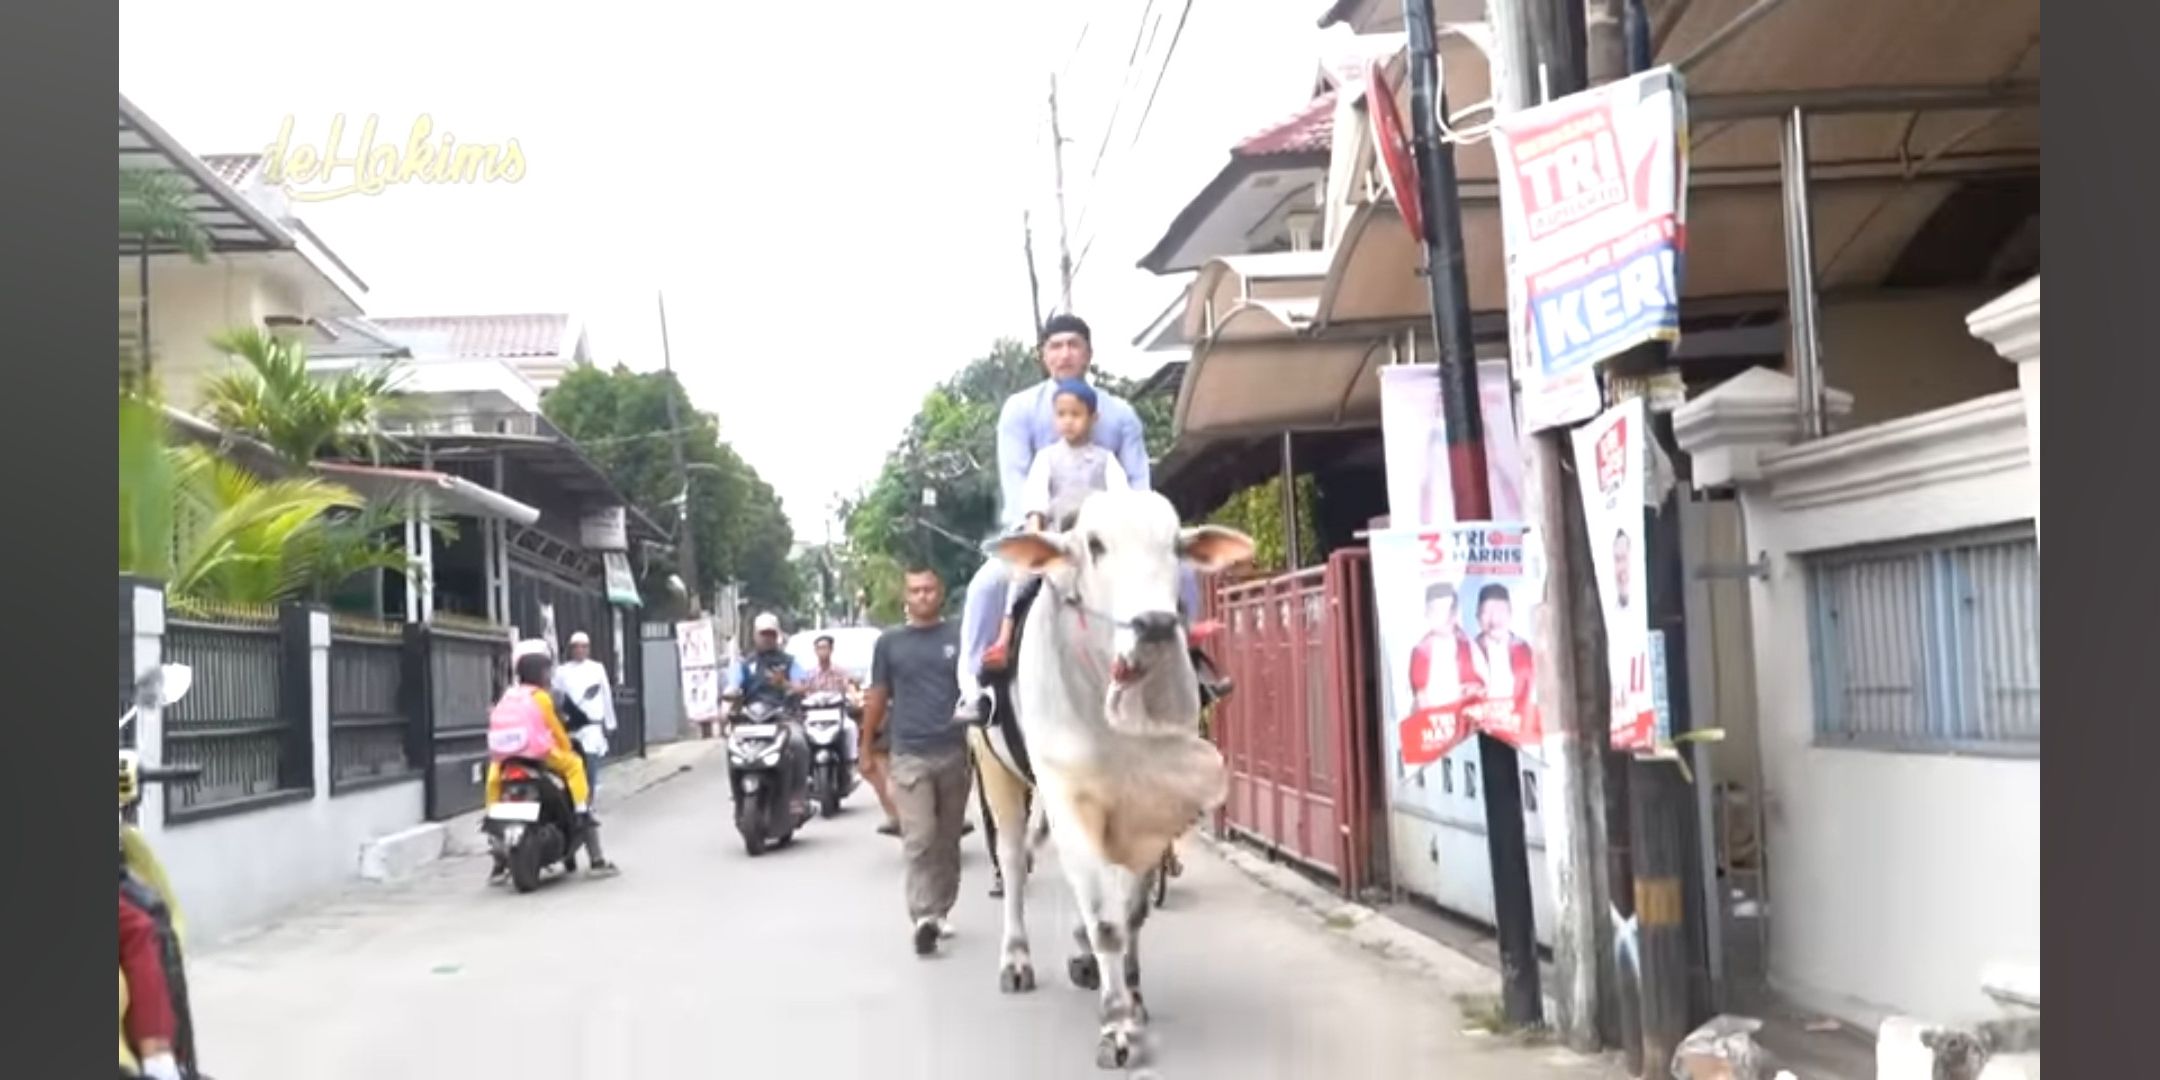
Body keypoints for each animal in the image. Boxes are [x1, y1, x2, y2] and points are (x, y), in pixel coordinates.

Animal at [980, 492, 1252, 1071]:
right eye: (1096, 544)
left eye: (1175, 544)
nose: (1154, 624)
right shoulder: (1065, 794)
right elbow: (1107, 920)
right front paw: (1117, 1025)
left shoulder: (1150, 800)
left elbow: (1131, 911)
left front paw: (1133, 994)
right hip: (994, 768)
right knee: (1013, 862)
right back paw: (1016, 959)